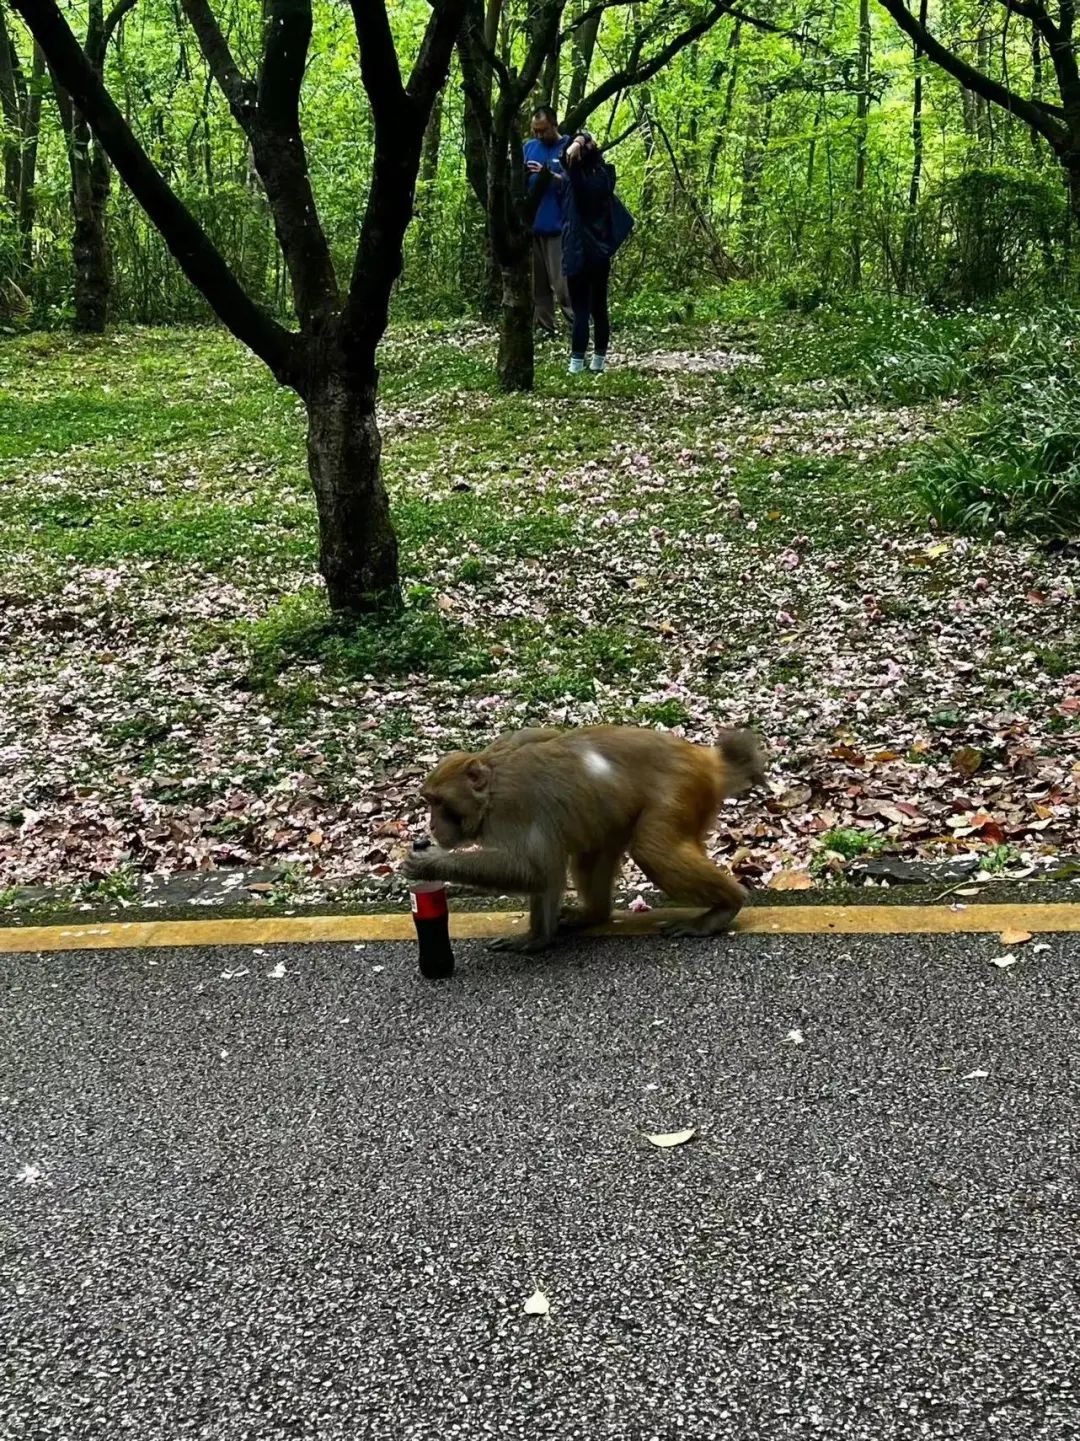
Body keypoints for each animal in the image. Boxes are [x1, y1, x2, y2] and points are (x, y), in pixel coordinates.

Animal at [400, 726, 761, 951]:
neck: (492, 788)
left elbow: (536, 869)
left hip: (681, 789)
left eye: (438, 803)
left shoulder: (515, 808)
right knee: (591, 855)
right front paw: (538, 938)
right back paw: (594, 915)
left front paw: (429, 863)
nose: (432, 826)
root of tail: (707, 760)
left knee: (653, 852)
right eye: (429, 802)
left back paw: (727, 906)